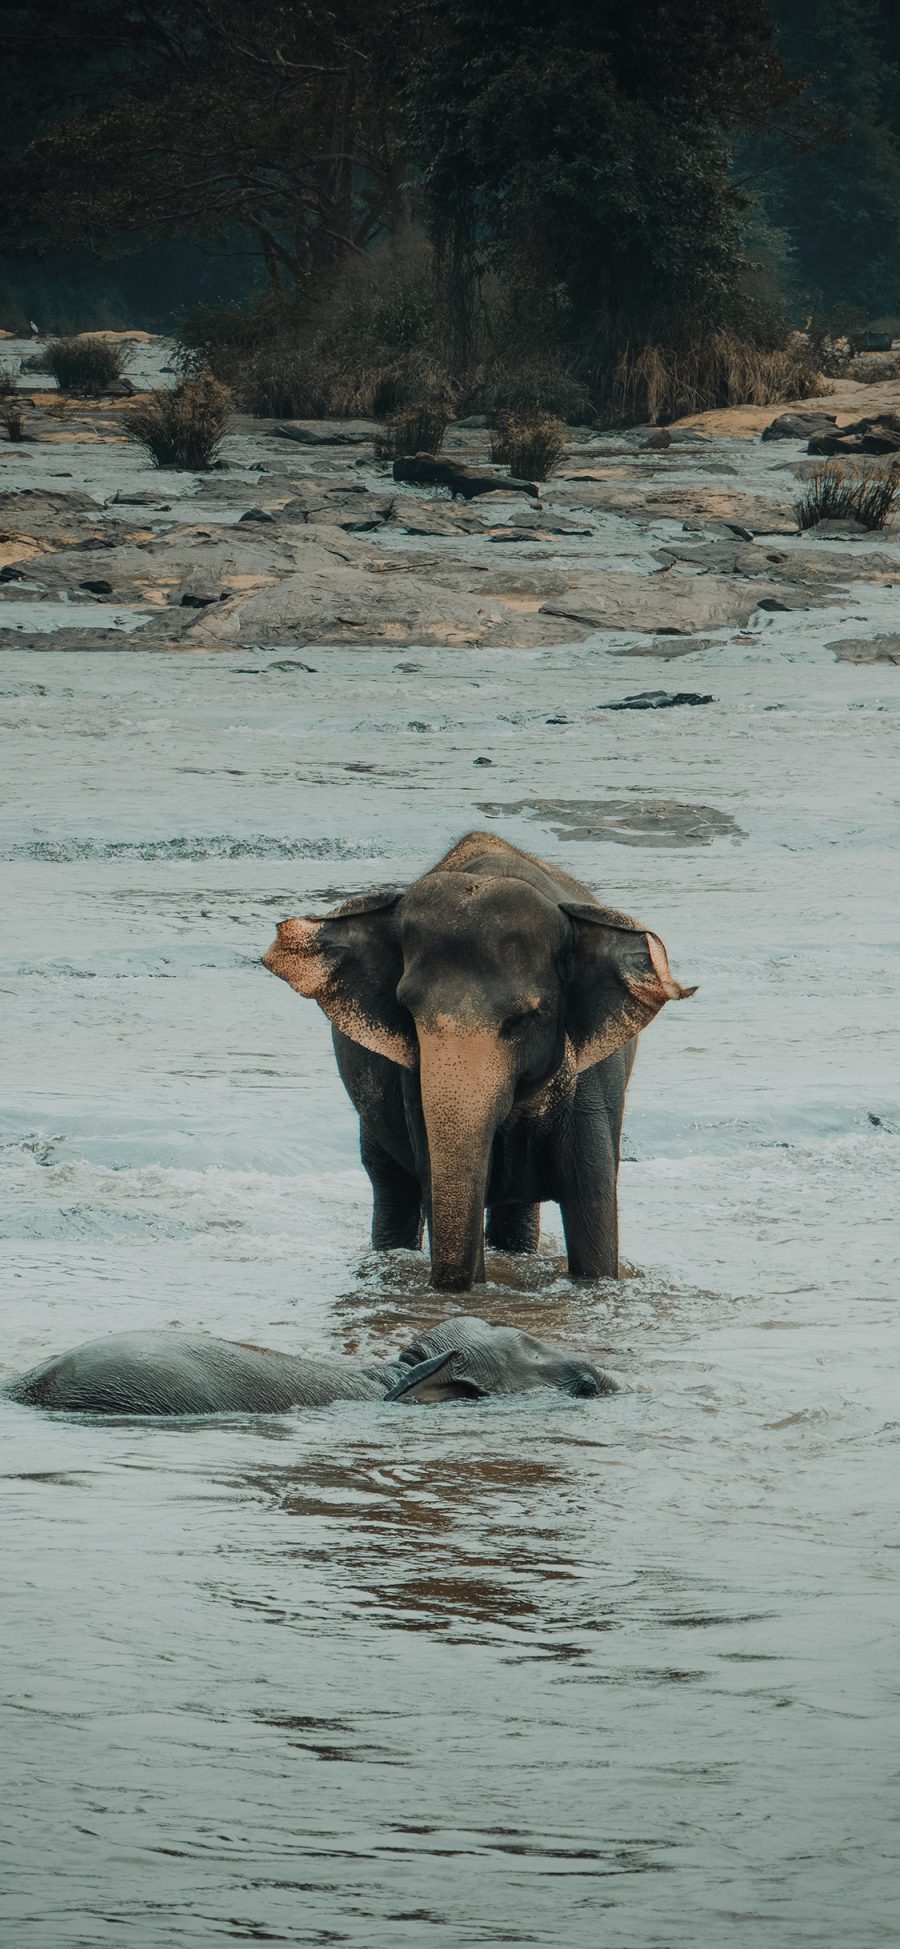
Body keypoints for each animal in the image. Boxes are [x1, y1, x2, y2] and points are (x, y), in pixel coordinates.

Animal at [262, 826, 693, 1294]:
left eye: (522, 1019)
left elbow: (592, 1203)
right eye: (407, 1013)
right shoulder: (414, 1087)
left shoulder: (593, 1083)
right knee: (391, 1189)